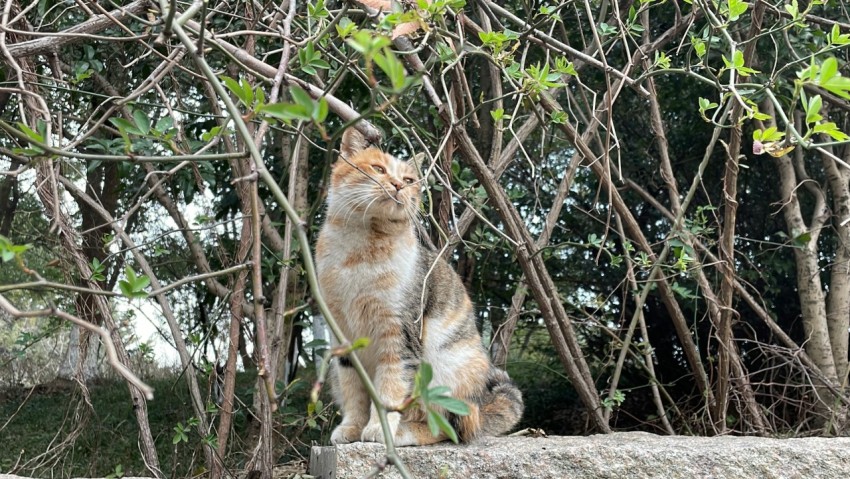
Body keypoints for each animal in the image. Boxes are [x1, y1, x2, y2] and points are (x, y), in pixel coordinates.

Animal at [314, 124, 520, 446]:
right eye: (378, 168)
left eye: (409, 180)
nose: (399, 184)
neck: (359, 250)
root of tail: (481, 408)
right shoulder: (343, 337)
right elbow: (354, 392)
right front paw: (351, 429)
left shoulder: (400, 331)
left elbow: (390, 386)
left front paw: (379, 430)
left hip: (442, 368)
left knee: (448, 427)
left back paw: (403, 433)